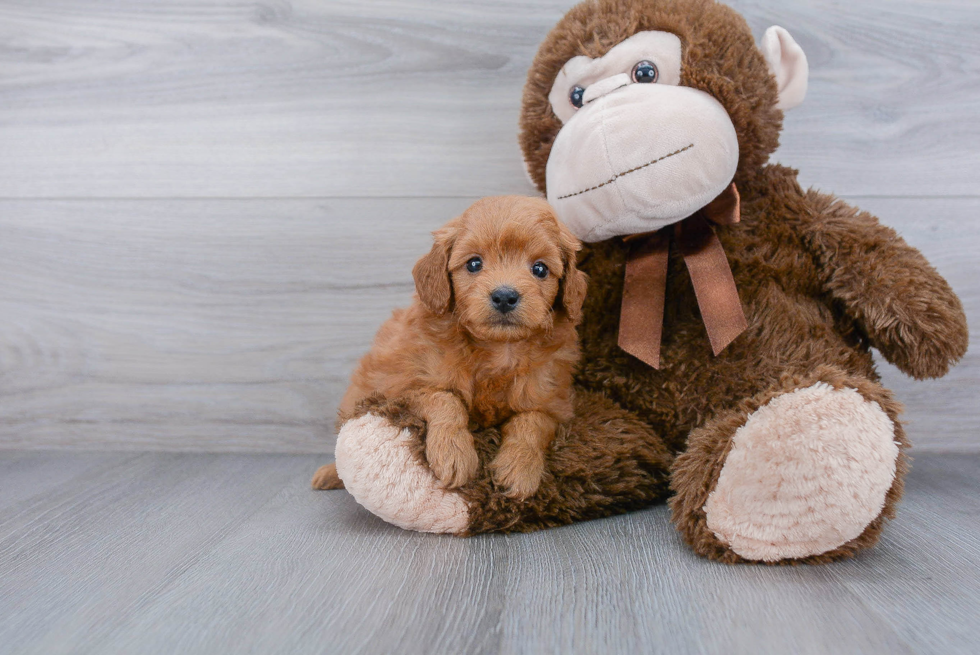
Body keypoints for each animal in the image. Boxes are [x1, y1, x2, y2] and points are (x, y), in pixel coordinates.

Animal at [314, 197, 588, 500]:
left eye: (540, 269)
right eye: (474, 263)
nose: (505, 296)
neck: (498, 350)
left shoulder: (553, 403)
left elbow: (532, 422)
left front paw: (519, 467)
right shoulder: (400, 388)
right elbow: (445, 398)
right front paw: (453, 452)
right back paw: (329, 474)